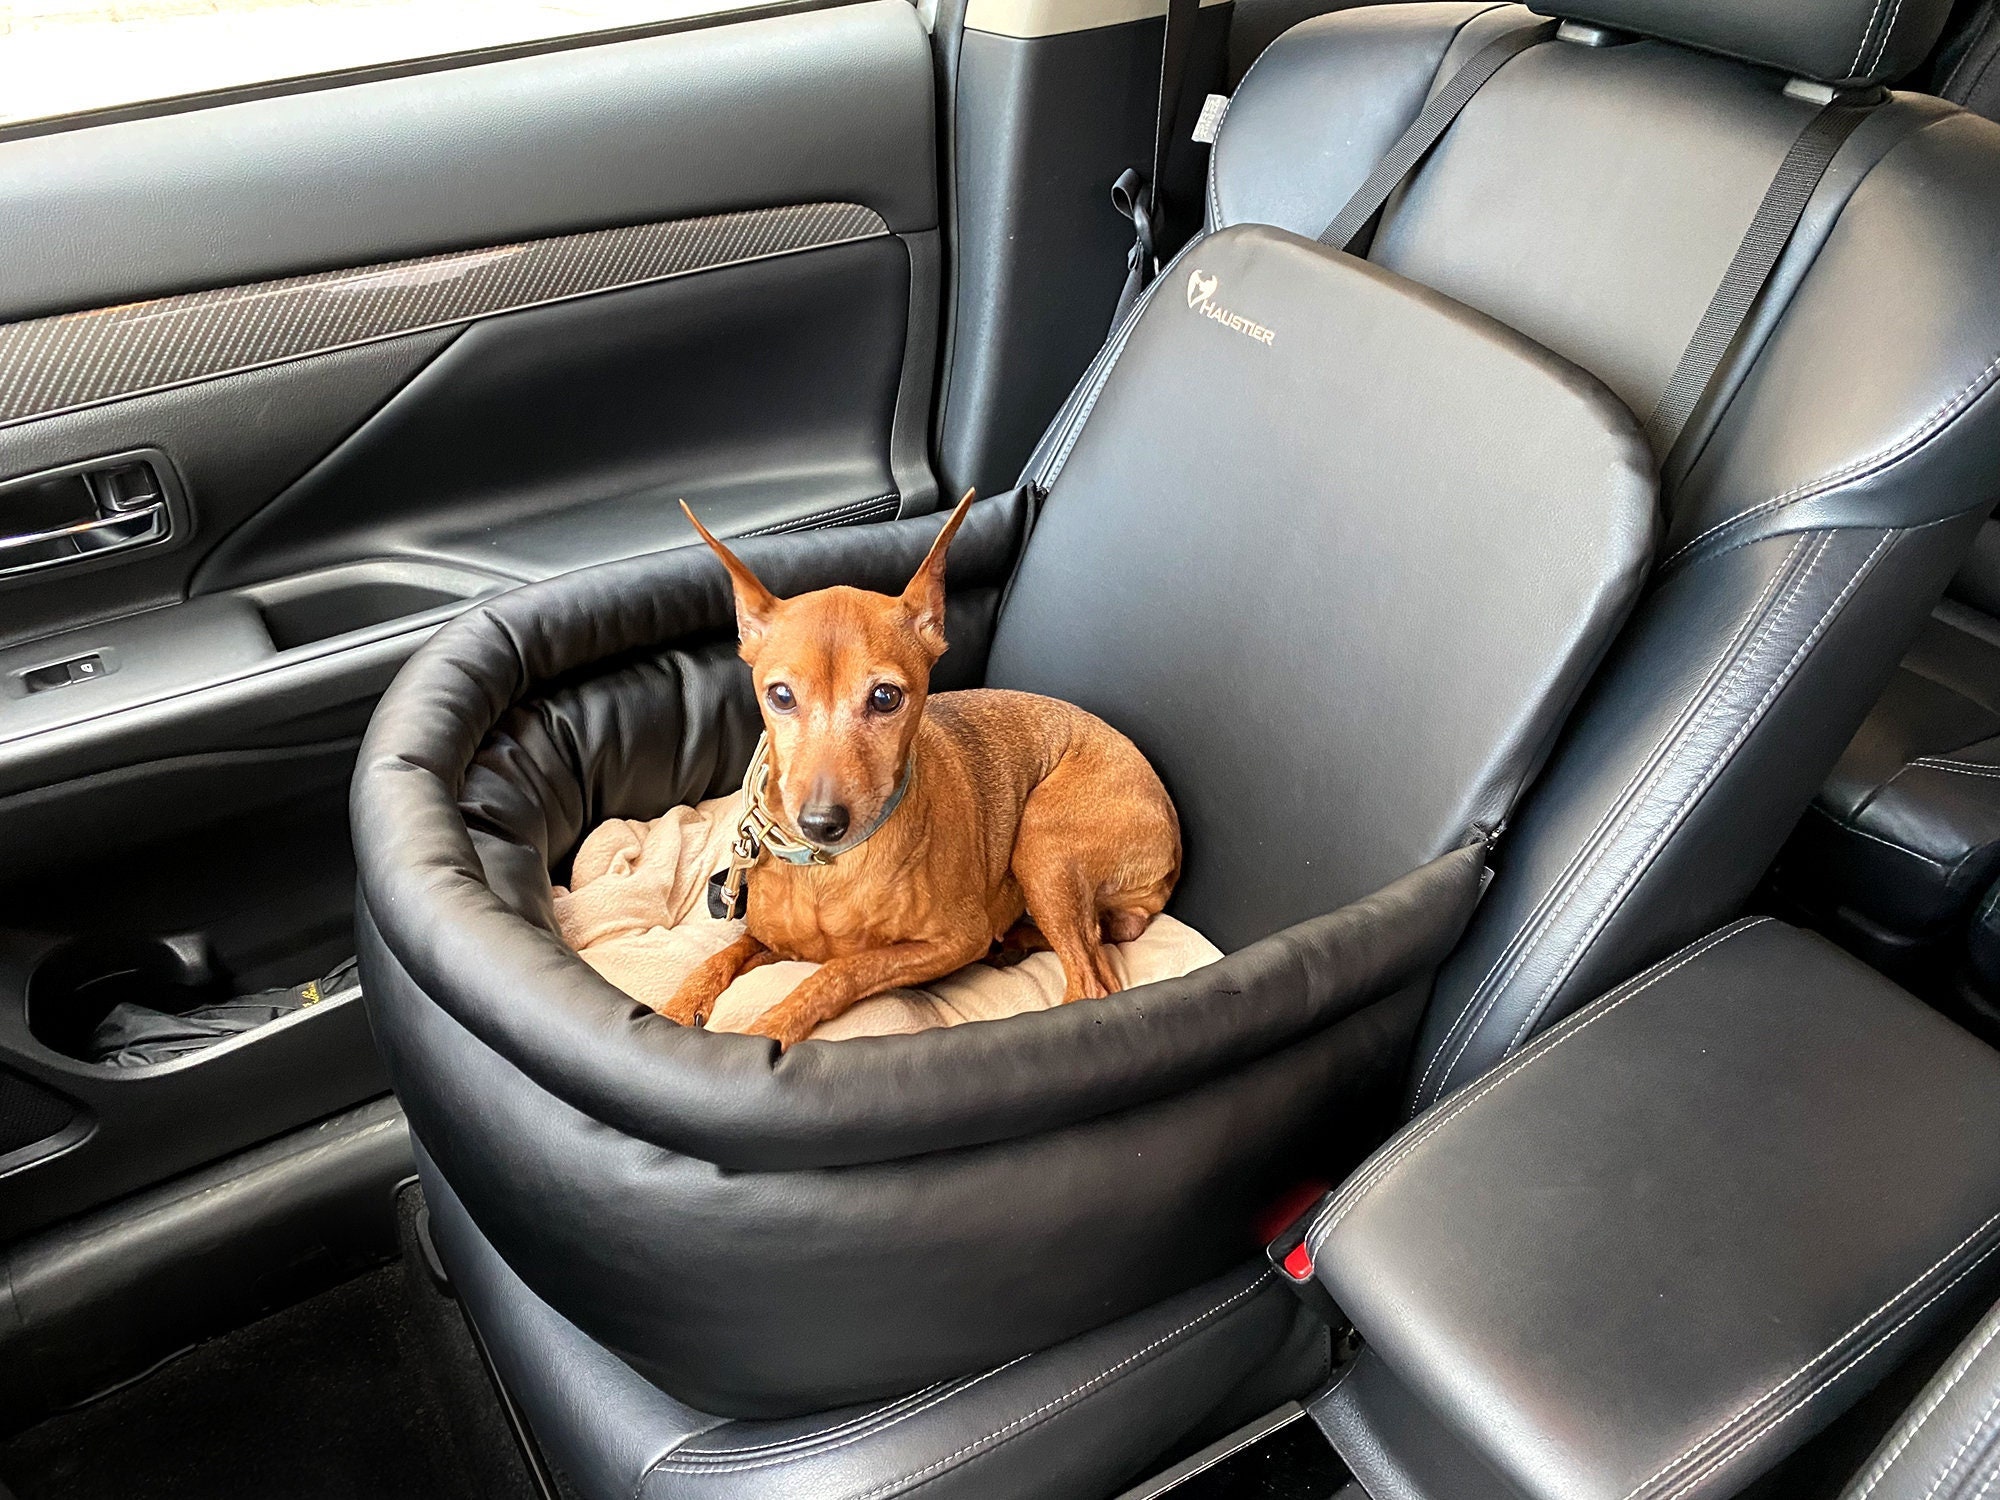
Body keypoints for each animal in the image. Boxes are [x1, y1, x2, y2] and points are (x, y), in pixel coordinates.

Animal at [664, 488, 1176, 1048]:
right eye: (780, 695)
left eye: (886, 697)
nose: (822, 822)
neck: (829, 869)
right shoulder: (774, 941)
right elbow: (726, 954)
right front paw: (679, 1005)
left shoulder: (955, 939)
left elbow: (843, 969)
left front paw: (772, 1027)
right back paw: (1018, 939)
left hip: (1043, 845)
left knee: (1092, 982)